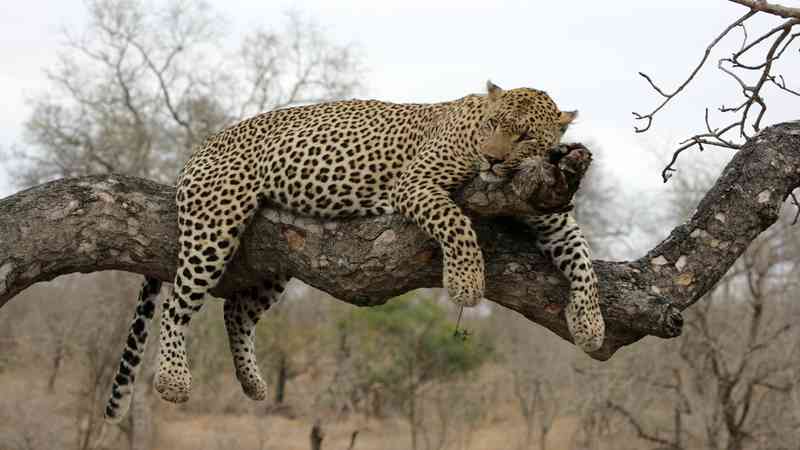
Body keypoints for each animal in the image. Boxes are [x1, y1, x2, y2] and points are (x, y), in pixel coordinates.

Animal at [104, 81, 604, 423]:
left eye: (525, 137)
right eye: (493, 125)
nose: (493, 160)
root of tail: (199, 148)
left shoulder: (549, 209)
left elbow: (583, 261)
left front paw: (591, 326)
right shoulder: (416, 183)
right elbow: (458, 223)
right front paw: (465, 282)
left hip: (277, 256)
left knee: (235, 312)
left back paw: (253, 384)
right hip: (215, 222)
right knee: (177, 302)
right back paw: (172, 379)